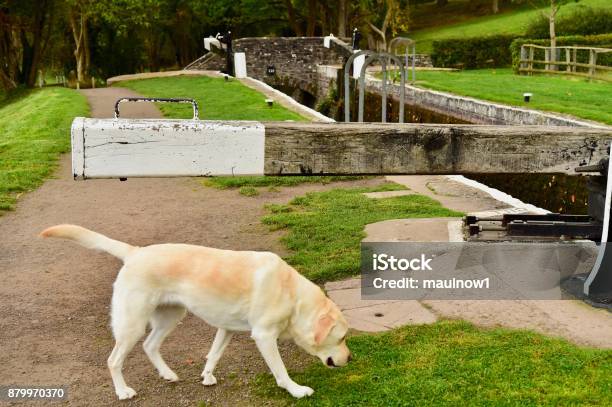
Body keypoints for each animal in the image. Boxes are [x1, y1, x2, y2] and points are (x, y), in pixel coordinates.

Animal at [40, 226, 352, 402]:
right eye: (342, 338)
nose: (350, 359)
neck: (291, 293)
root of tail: (135, 252)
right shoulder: (264, 336)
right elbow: (280, 370)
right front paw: (297, 390)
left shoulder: (227, 328)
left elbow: (213, 354)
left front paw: (207, 376)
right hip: (132, 324)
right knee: (114, 359)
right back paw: (122, 391)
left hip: (170, 317)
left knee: (149, 345)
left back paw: (167, 374)